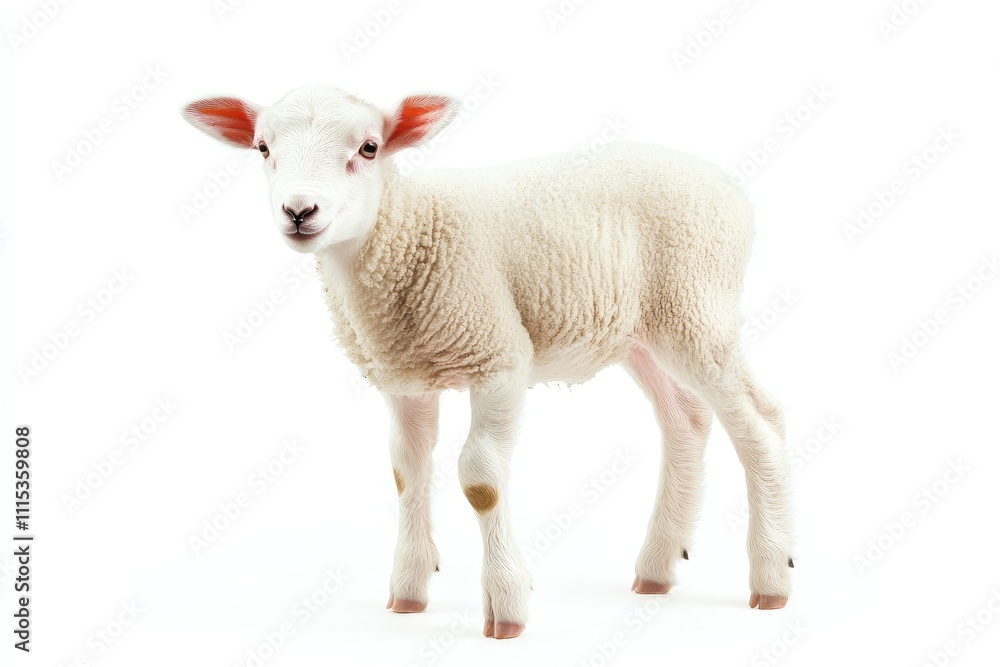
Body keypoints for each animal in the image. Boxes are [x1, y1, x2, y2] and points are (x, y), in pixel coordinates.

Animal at [182, 84, 795, 639]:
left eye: (370, 148)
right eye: (263, 147)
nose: (299, 211)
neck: (406, 232)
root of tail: (729, 187)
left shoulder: (499, 357)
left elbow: (481, 480)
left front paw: (506, 604)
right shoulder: (404, 377)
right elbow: (407, 471)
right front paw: (408, 592)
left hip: (697, 308)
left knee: (760, 424)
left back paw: (772, 575)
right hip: (641, 333)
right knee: (686, 421)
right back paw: (658, 567)